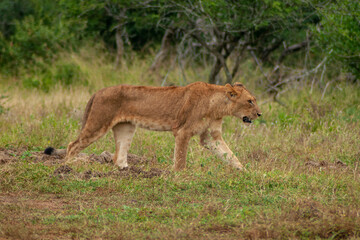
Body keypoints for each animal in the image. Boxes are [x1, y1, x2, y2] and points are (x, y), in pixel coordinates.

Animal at [44, 82, 262, 171]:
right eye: (250, 101)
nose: (259, 114)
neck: (217, 107)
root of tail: (98, 91)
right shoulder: (182, 131)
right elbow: (180, 159)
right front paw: (179, 175)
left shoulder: (211, 136)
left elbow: (230, 155)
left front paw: (246, 172)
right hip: (98, 124)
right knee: (73, 145)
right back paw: (68, 167)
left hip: (126, 128)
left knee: (118, 156)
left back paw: (127, 170)